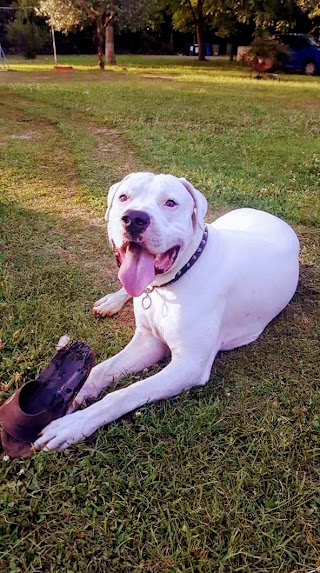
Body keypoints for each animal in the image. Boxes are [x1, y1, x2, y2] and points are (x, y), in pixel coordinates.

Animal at [35, 172, 300, 450]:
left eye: (171, 203)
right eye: (123, 197)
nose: (134, 218)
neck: (168, 286)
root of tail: (269, 215)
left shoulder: (189, 365)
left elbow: (124, 393)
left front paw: (75, 424)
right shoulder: (148, 342)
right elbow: (101, 369)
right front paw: (73, 392)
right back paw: (112, 301)